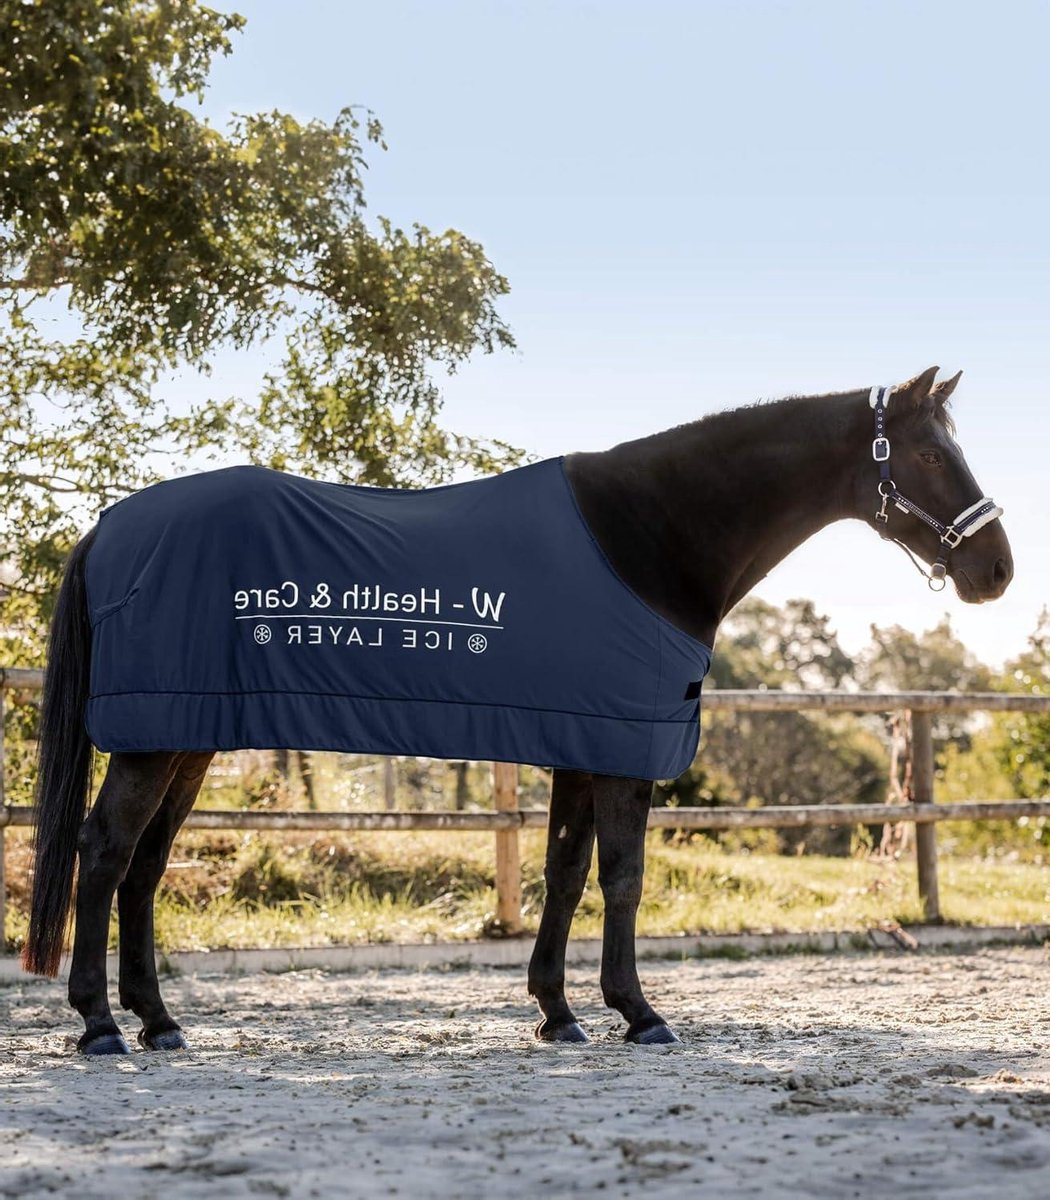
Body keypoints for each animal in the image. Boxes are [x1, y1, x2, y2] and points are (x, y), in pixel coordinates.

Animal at [21, 365, 1013, 1053]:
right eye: (931, 453)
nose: (995, 569)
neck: (649, 536)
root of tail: (108, 526)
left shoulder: (581, 742)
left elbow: (565, 874)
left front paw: (558, 1012)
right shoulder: (623, 749)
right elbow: (623, 878)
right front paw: (638, 1012)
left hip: (184, 737)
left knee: (144, 867)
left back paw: (158, 1022)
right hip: (153, 741)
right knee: (105, 853)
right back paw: (100, 1026)